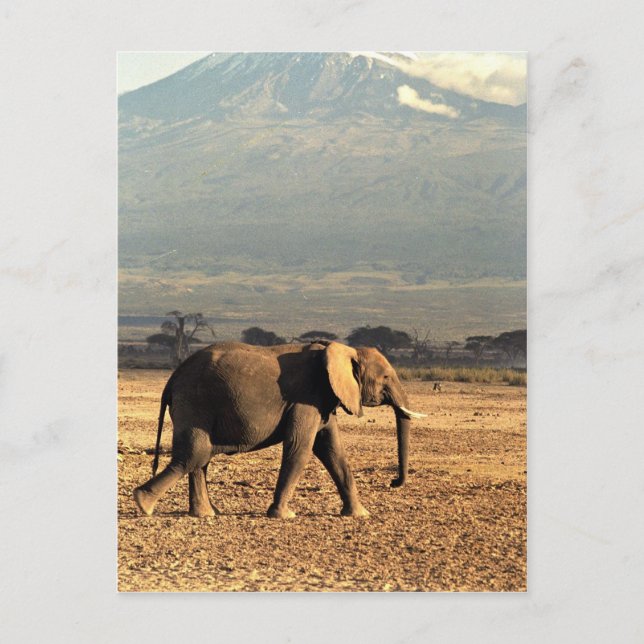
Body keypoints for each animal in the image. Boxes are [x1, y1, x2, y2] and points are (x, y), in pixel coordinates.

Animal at [133, 340, 426, 519]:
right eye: (386, 377)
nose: (393, 482)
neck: (342, 349)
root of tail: (172, 377)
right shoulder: (306, 397)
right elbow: (301, 449)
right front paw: (284, 515)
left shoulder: (323, 399)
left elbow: (334, 453)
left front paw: (359, 514)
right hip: (195, 401)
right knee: (195, 454)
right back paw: (143, 504)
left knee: (200, 458)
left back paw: (204, 513)